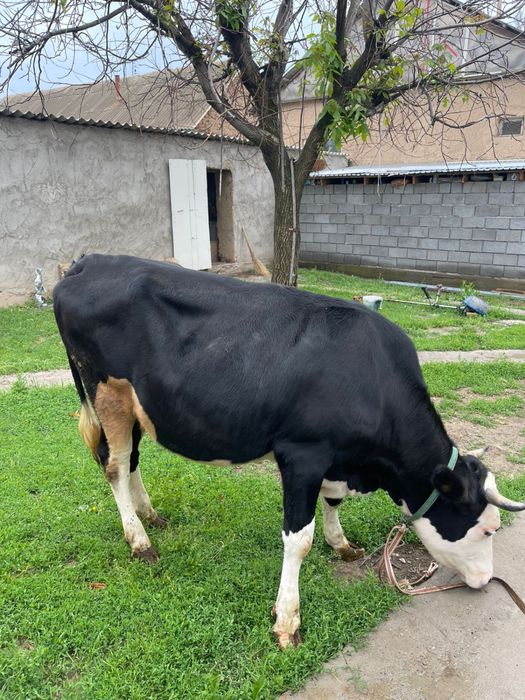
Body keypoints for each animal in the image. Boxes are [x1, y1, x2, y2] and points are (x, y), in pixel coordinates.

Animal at [53, 253, 525, 649]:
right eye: (487, 530)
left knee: (132, 459)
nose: (487, 580)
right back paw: (140, 541)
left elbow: (333, 503)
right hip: (105, 391)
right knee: (114, 465)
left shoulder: (335, 459)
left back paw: (150, 515)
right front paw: (287, 622)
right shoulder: (303, 454)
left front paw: (343, 545)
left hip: (135, 405)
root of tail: (89, 262)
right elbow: (298, 540)